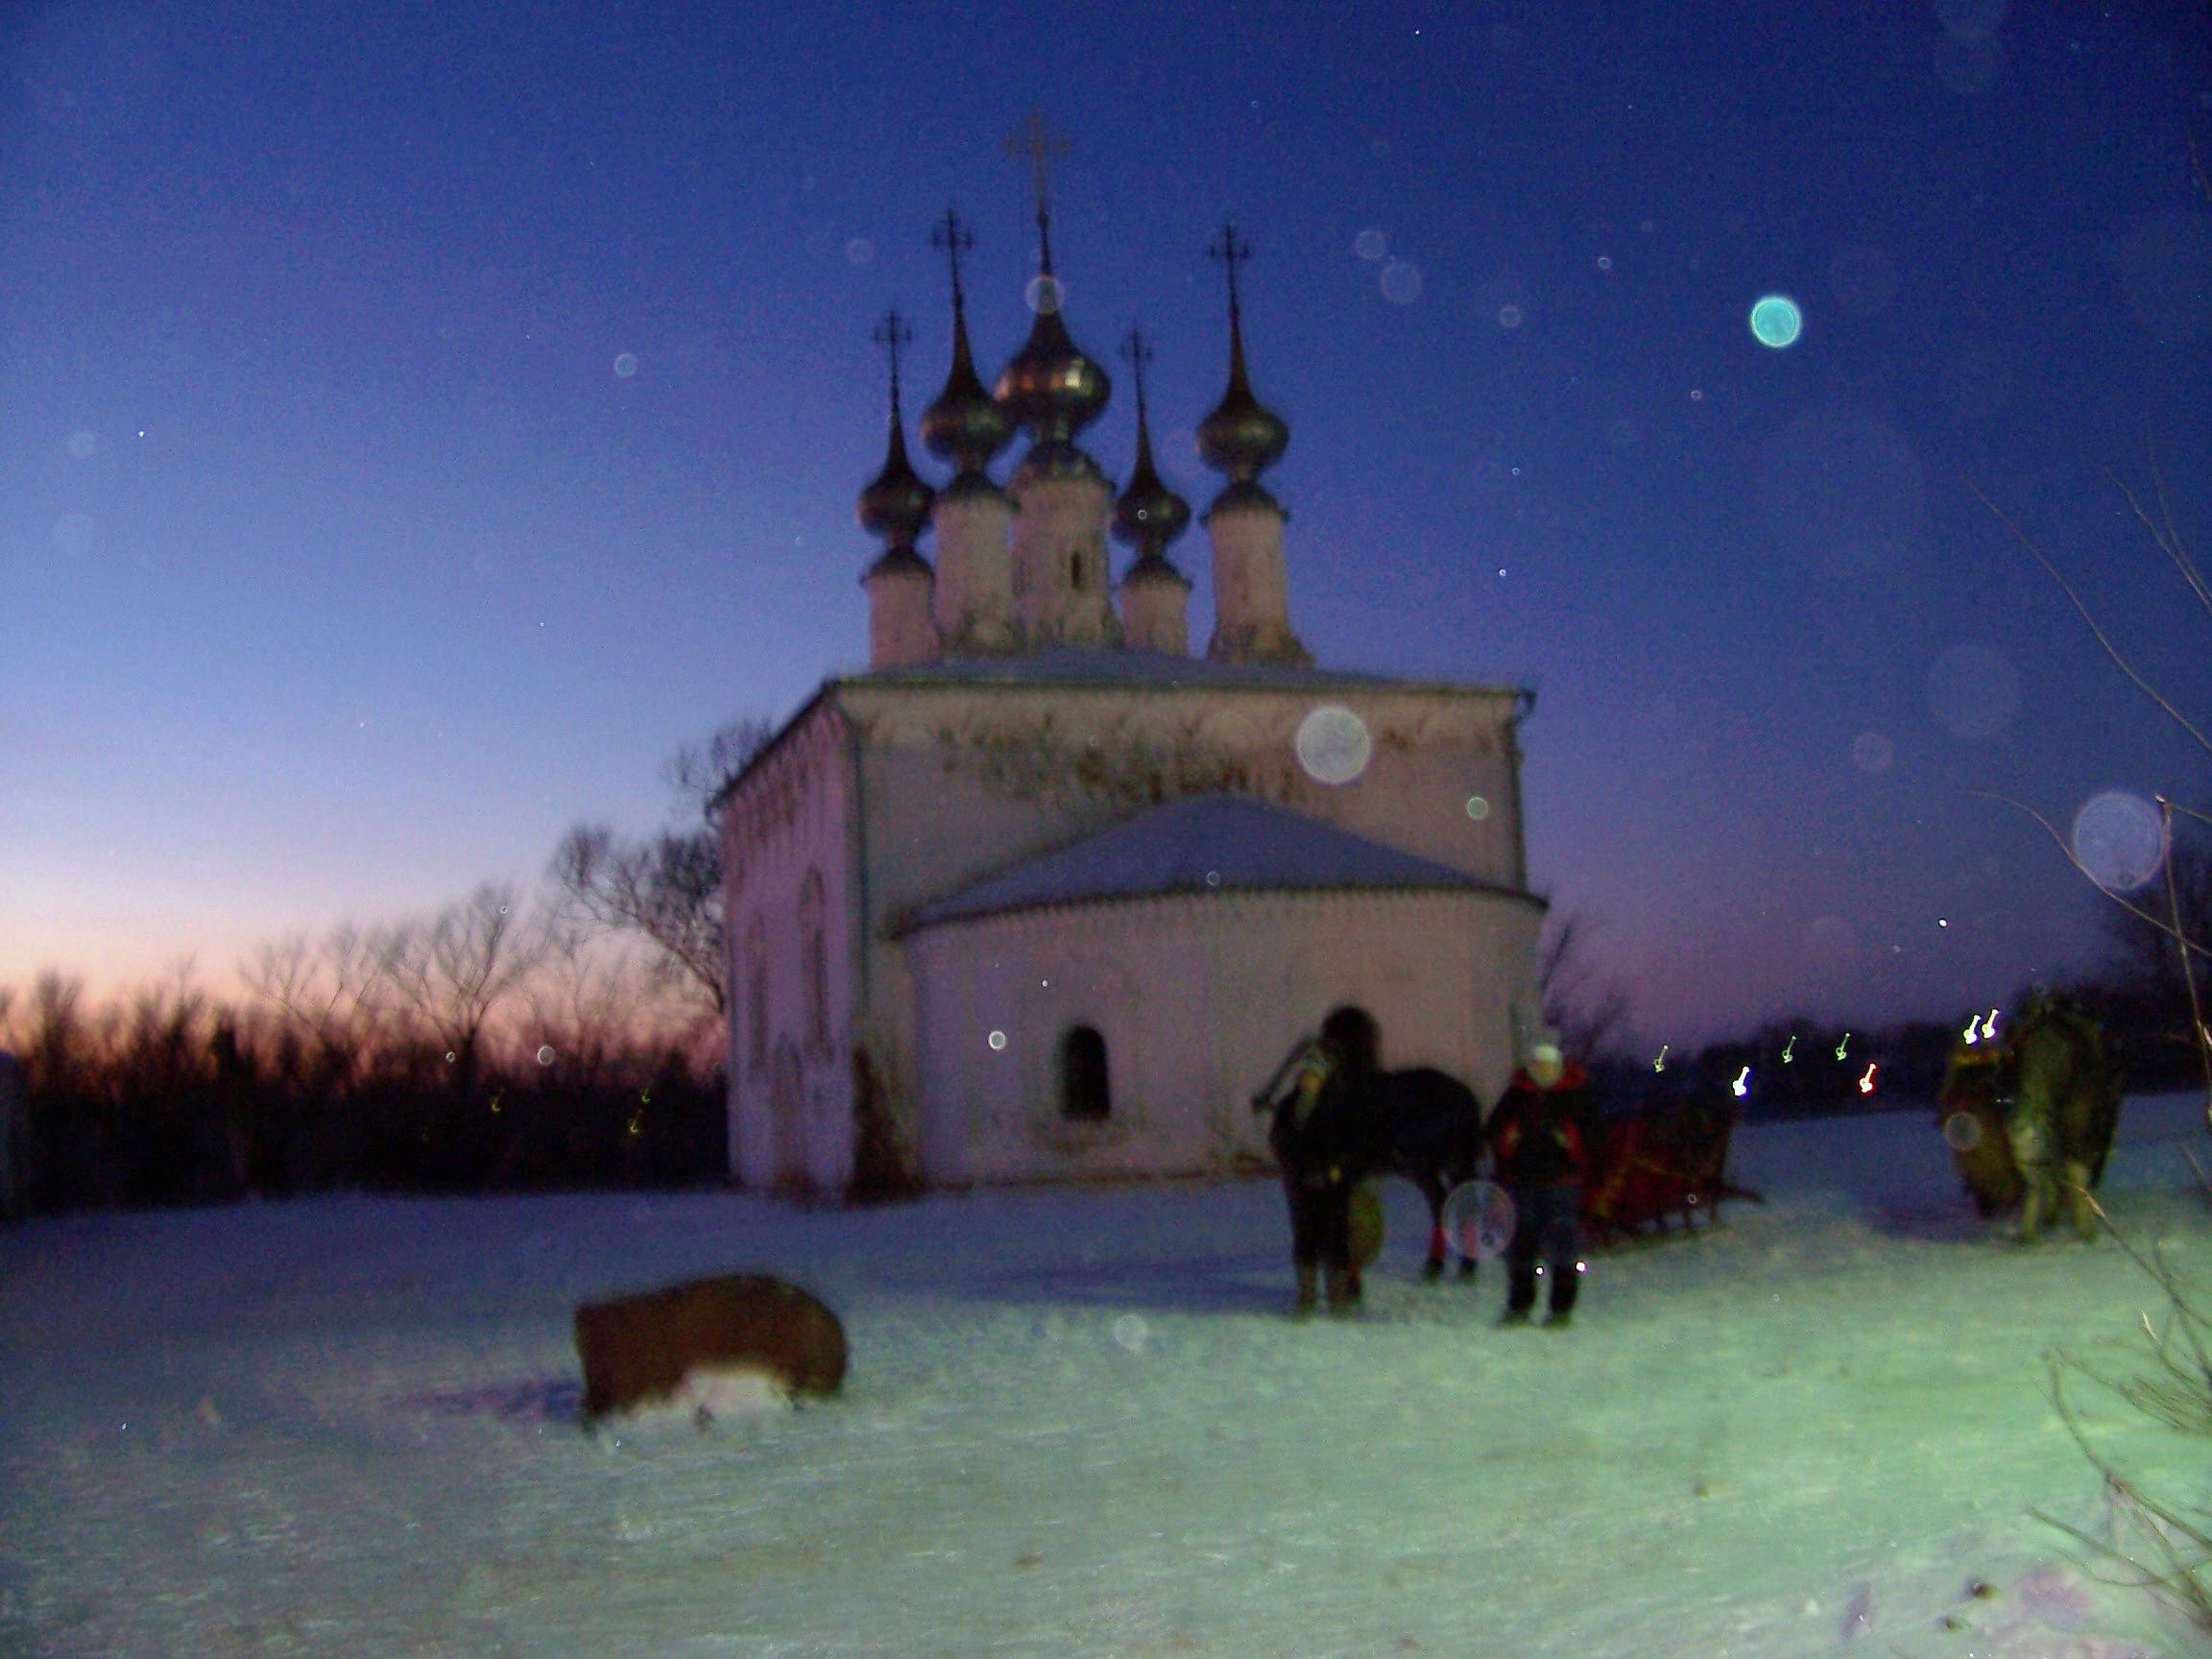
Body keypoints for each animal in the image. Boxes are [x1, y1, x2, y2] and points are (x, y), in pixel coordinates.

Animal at [1256, 1026, 1495, 1283]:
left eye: (1327, 1062)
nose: (1261, 1101)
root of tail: (1469, 1101)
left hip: (1451, 1160)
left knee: (1461, 1203)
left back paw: (1463, 1267)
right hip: (1426, 1166)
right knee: (1441, 1201)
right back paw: (1436, 1266)